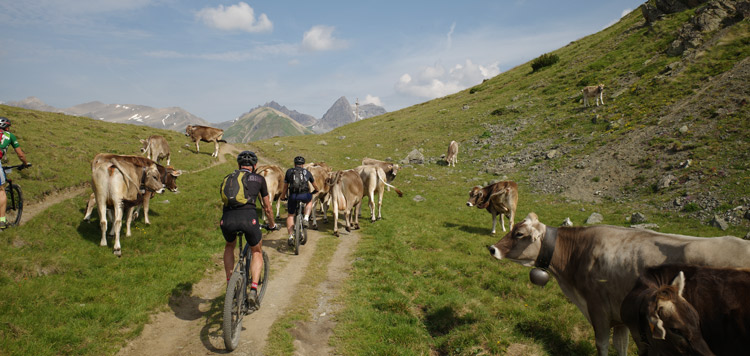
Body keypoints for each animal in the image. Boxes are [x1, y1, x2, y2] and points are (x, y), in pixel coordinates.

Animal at [488, 211, 750, 356]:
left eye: (519, 234)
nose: (492, 249)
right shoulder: (621, 317)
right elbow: (621, 347)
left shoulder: (598, 309)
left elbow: (602, 345)